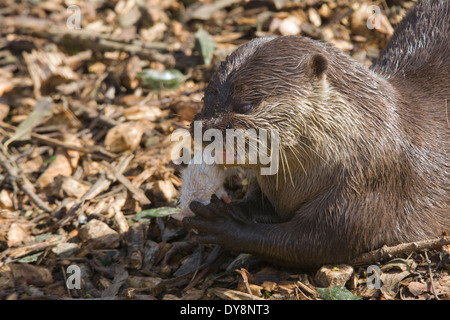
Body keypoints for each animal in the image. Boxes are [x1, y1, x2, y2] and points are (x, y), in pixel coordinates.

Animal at [182, 0, 450, 270]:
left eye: (245, 106)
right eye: (205, 99)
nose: (205, 128)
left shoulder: (372, 181)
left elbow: (316, 242)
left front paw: (222, 224)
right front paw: (233, 208)